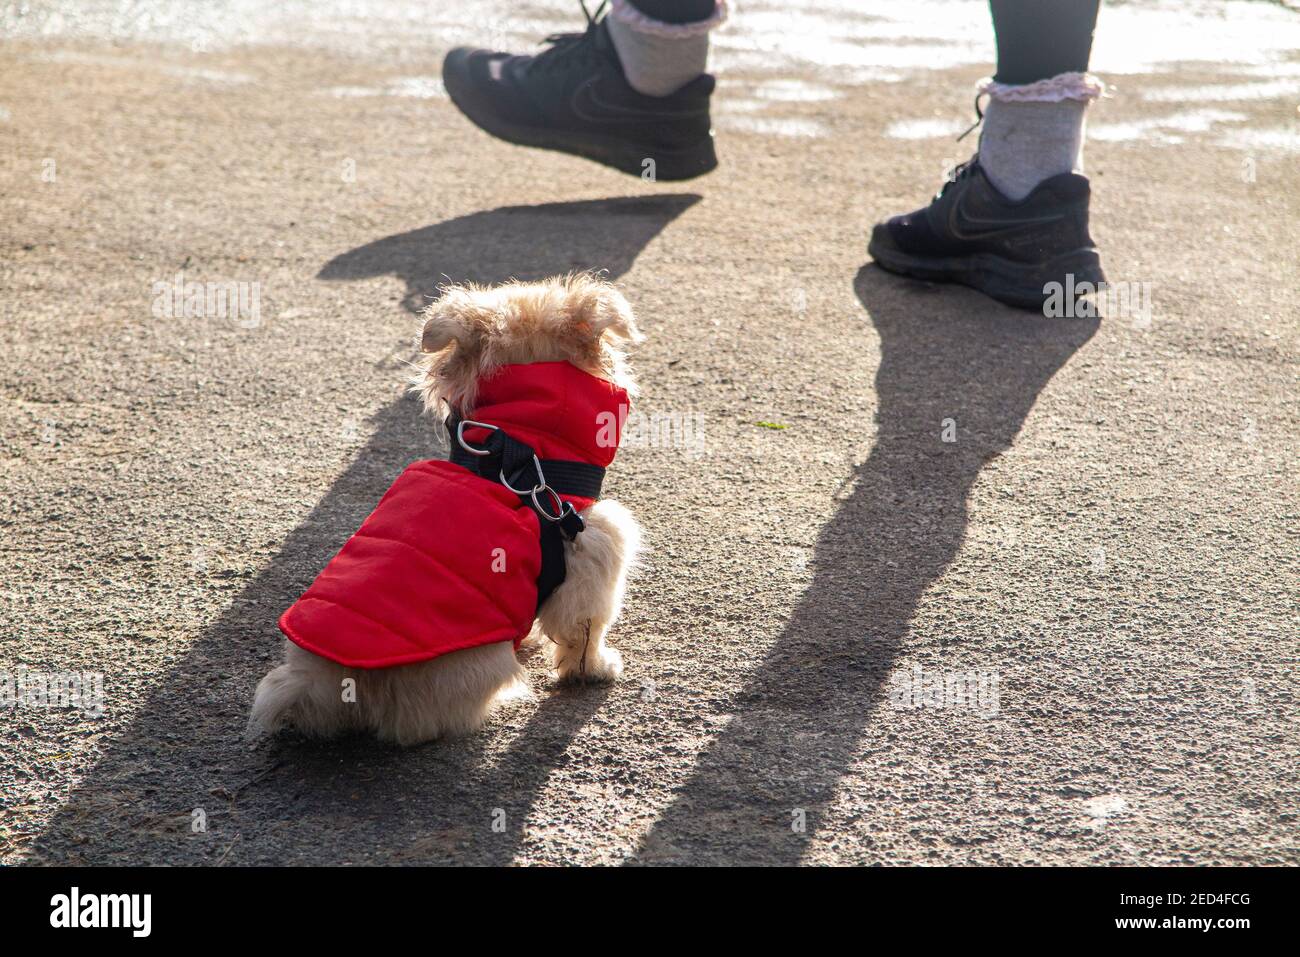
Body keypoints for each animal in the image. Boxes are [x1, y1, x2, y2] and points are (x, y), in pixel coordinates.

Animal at [245, 273, 642, 743]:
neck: (518, 447)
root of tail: (324, 684)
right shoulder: (588, 548)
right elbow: (585, 631)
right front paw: (595, 669)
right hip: (480, 667)